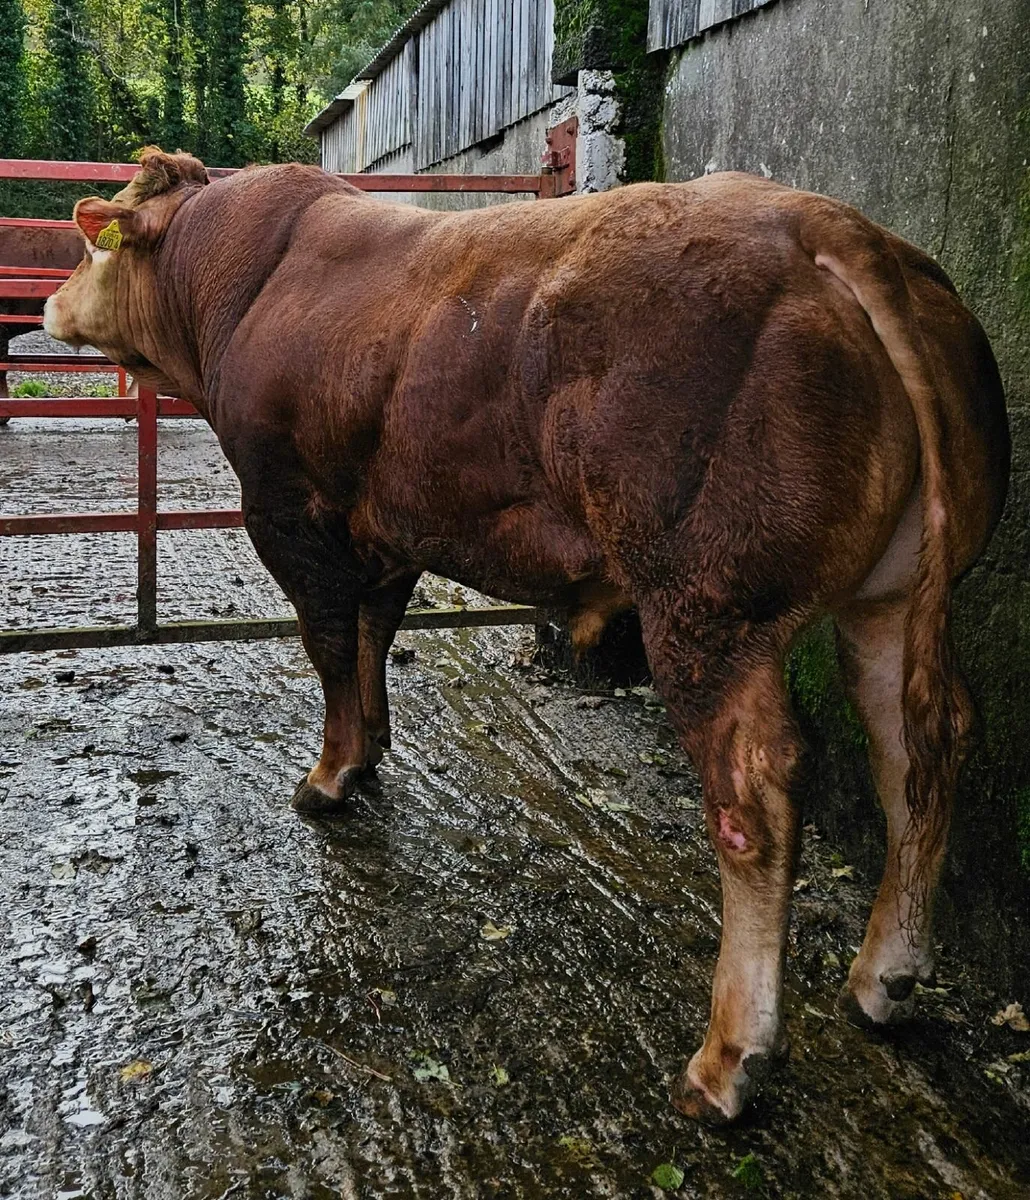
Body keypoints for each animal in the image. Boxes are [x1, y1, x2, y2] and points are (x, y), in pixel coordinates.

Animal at [43, 148, 1010, 1124]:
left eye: (92, 241)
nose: (47, 302)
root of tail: (828, 222)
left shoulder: (288, 510)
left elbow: (330, 644)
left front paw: (329, 776)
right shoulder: (391, 524)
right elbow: (374, 633)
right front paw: (372, 751)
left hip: (705, 600)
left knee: (758, 786)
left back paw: (726, 1060)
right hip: (891, 598)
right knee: (919, 745)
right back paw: (884, 979)